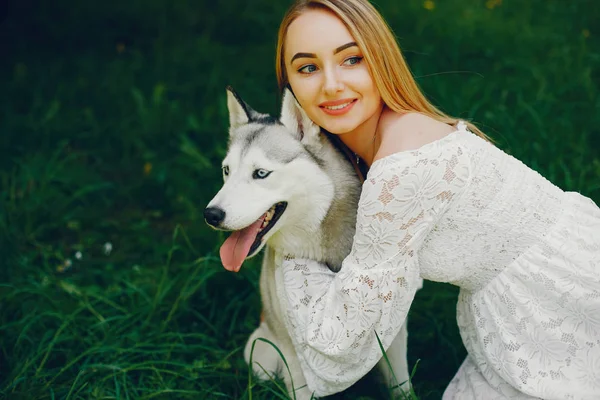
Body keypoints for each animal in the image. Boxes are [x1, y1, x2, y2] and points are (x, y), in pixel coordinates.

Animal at [204, 87, 414, 400]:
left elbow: (402, 385)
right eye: (227, 171)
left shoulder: (393, 333)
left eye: (260, 173)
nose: (211, 214)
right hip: (260, 351)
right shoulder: (293, 350)